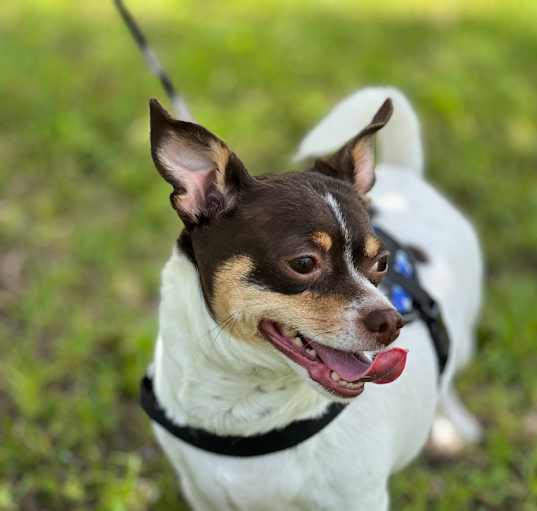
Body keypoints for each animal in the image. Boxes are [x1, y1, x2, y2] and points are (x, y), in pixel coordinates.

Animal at [143, 86, 482, 510]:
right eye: (304, 263)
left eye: (382, 262)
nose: (393, 321)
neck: (242, 406)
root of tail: (408, 174)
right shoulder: (203, 496)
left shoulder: (360, 500)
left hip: (462, 337)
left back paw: (455, 425)